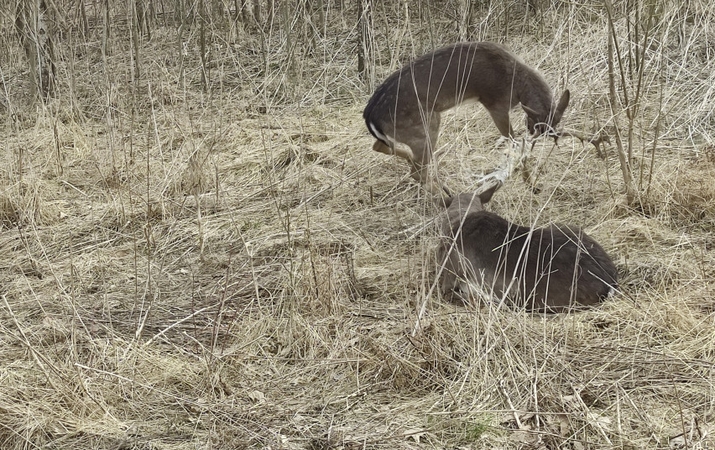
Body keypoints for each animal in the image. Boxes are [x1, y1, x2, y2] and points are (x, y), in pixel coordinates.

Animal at [364, 42, 572, 195]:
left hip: (406, 132)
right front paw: (531, 184)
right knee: (416, 171)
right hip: (424, 125)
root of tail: (370, 116)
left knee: (380, 146)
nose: (530, 129)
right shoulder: (495, 102)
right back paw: (447, 198)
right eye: (536, 126)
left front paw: (531, 183)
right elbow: (514, 143)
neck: (518, 83)